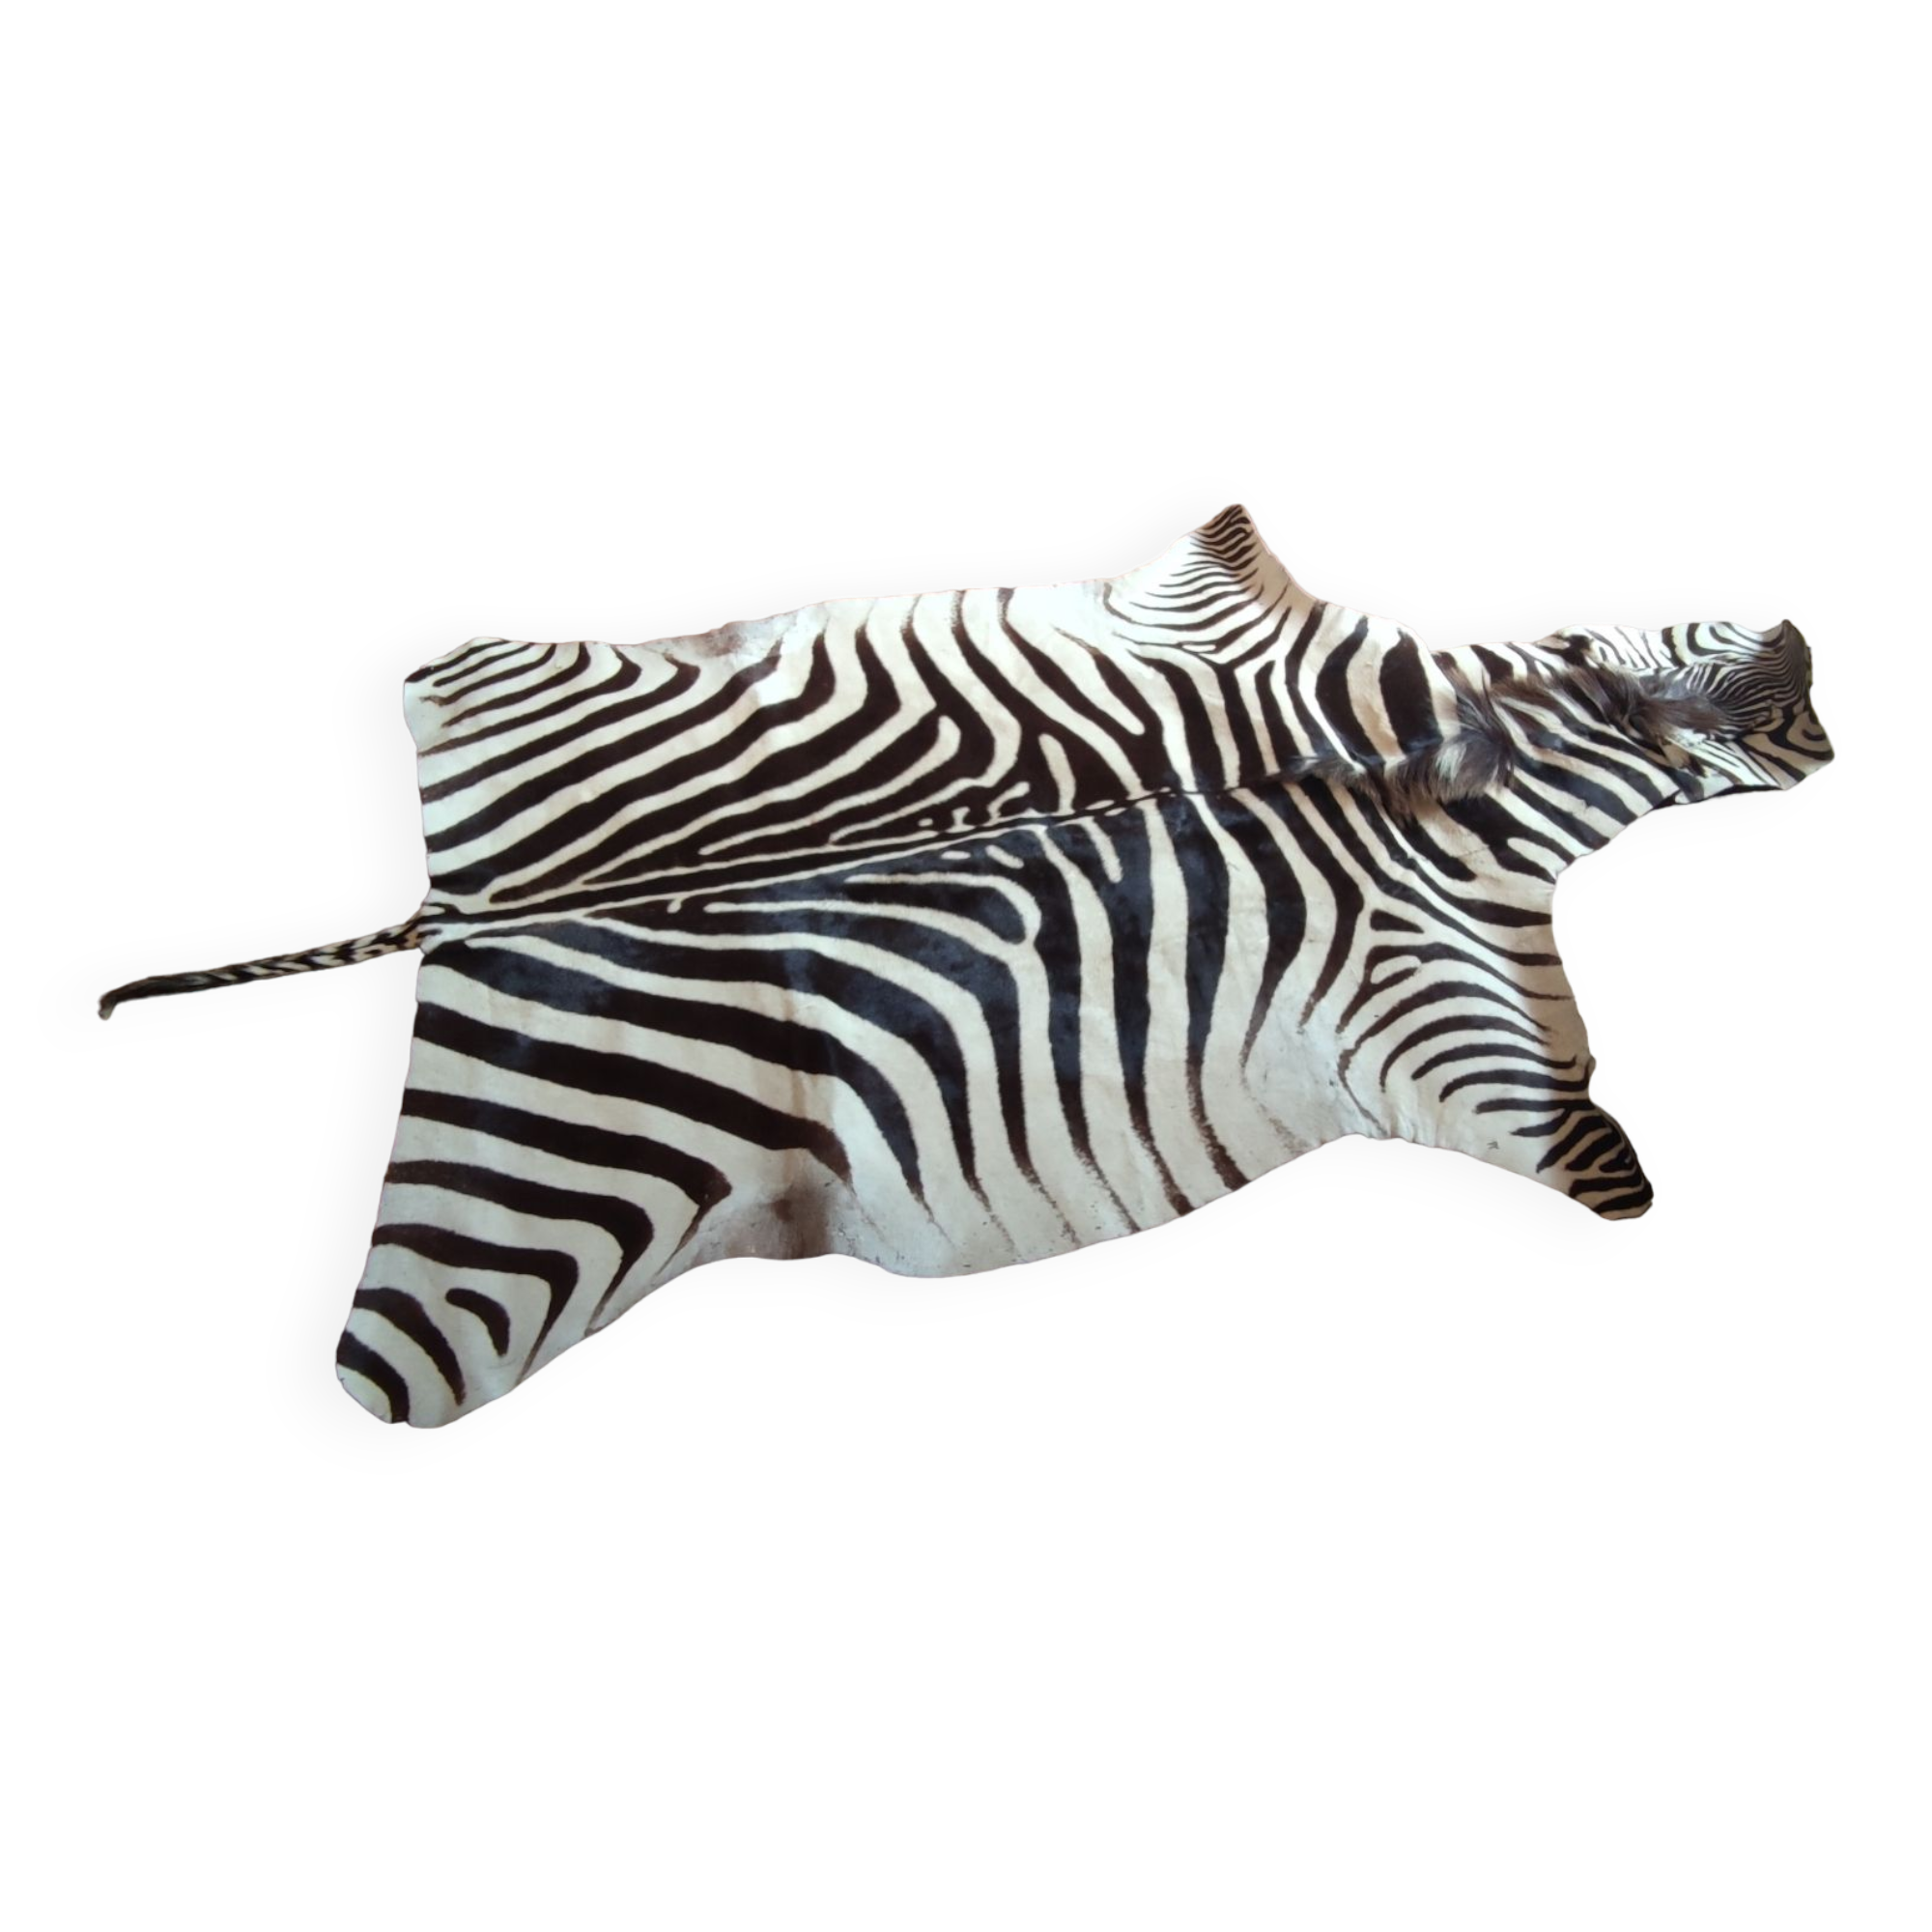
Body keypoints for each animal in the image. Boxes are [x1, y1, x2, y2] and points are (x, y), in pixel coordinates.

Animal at [96, 503, 1836, 1429]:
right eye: (1617, 670)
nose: (1805, 664)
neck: (1447, 750)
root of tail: (464, 902)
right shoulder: (1454, 1008)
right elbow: (1579, 1133)